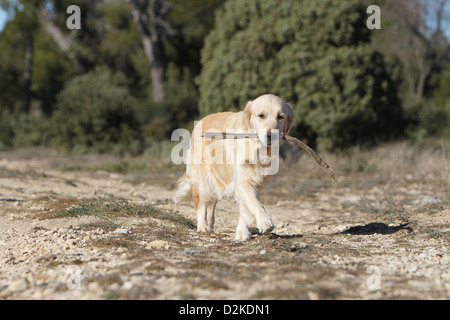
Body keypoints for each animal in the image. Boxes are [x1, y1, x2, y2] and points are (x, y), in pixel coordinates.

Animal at [173, 94, 296, 239]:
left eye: (280, 116)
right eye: (261, 115)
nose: (271, 135)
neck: (258, 148)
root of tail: (199, 122)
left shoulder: (254, 183)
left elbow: (247, 207)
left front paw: (242, 232)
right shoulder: (241, 182)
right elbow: (254, 204)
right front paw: (265, 222)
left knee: (211, 205)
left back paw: (210, 227)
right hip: (204, 180)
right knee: (201, 203)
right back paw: (202, 226)